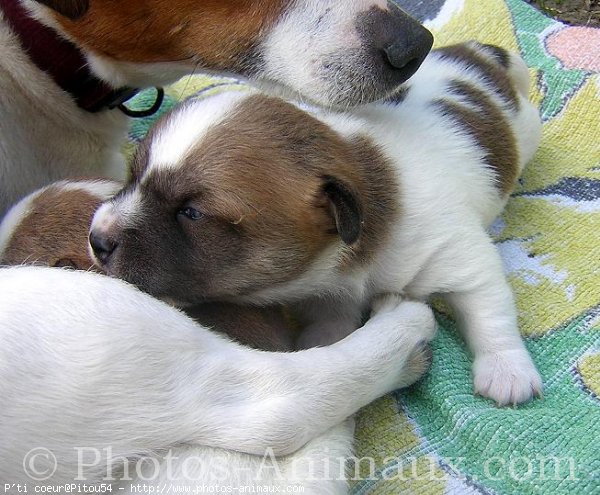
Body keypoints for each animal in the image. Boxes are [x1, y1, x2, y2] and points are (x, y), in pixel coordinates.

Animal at [91, 41, 548, 406]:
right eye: (133, 177)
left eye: (191, 213)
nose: (96, 239)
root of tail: (474, 55)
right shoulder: (328, 294)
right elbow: (331, 328)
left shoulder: (460, 256)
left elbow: (489, 310)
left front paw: (506, 372)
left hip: (528, 131)